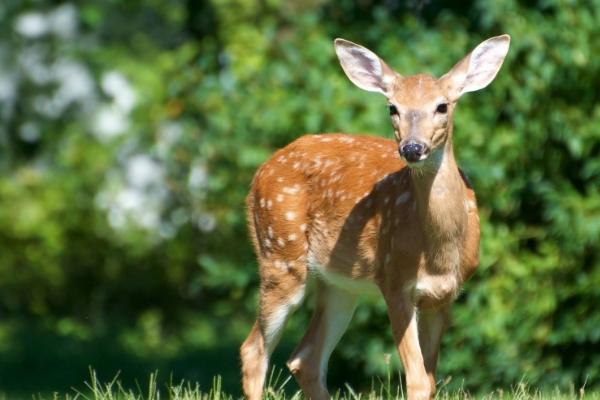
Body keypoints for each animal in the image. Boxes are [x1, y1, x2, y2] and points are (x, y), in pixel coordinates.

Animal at [240, 35, 510, 400]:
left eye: (442, 106)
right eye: (392, 107)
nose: (412, 148)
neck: (438, 252)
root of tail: (259, 174)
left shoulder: (444, 295)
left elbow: (431, 380)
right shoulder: (393, 280)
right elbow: (417, 379)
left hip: (339, 283)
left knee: (304, 358)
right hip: (280, 255)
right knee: (254, 350)